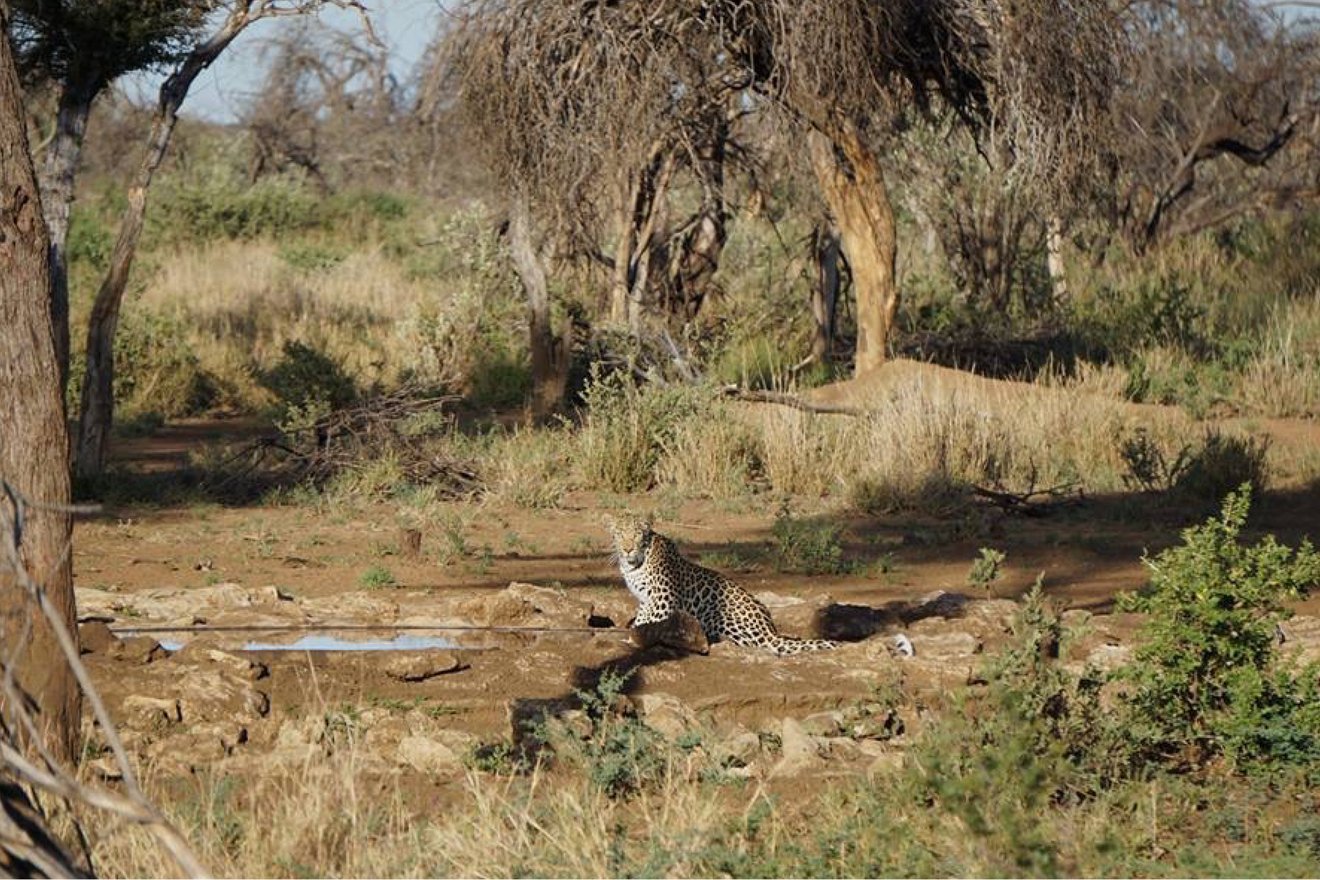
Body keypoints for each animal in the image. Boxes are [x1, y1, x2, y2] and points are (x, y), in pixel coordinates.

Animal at [604, 517, 839, 654]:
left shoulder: (663, 597)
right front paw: (634, 631)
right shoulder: (646, 599)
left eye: (637, 534)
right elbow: (642, 617)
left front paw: (633, 636)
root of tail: (770, 630)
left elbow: (650, 620)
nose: (627, 548)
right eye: (620, 534)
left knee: (753, 644)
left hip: (716, 614)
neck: (634, 564)